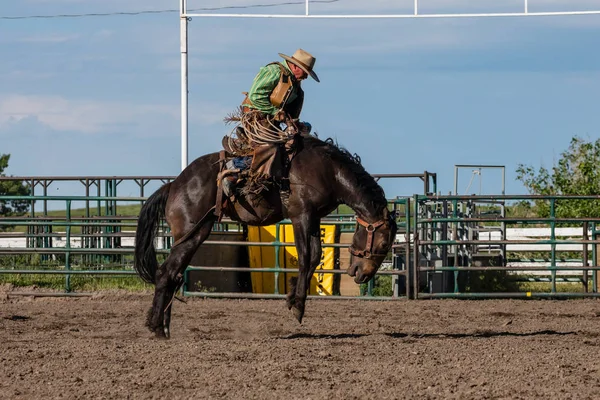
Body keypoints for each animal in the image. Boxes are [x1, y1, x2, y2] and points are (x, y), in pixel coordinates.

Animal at [136, 136, 398, 340]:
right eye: (385, 243)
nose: (362, 274)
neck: (329, 170)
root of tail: (173, 185)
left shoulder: (313, 219)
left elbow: (315, 257)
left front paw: (292, 296)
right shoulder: (301, 215)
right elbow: (307, 257)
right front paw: (297, 305)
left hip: (195, 234)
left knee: (174, 275)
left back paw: (164, 328)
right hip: (192, 233)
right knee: (166, 273)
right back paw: (157, 328)